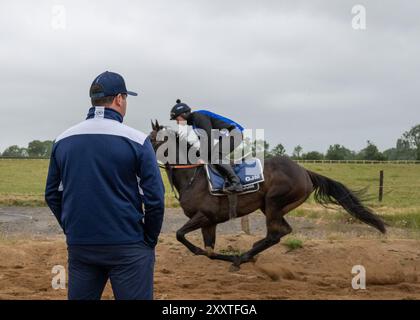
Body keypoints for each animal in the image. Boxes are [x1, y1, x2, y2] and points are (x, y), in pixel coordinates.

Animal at [149, 121, 386, 268]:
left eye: (151, 139)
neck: (192, 177)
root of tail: (305, 171)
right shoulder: (210, 222)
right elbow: (208, 251)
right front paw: (223, 256)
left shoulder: (204, 216)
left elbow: (180, 235)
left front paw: (233, 257)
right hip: (271, 206)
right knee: (283, 231)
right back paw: (250, 252)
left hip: (274, 202)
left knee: (275, 233)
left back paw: (244, 257)